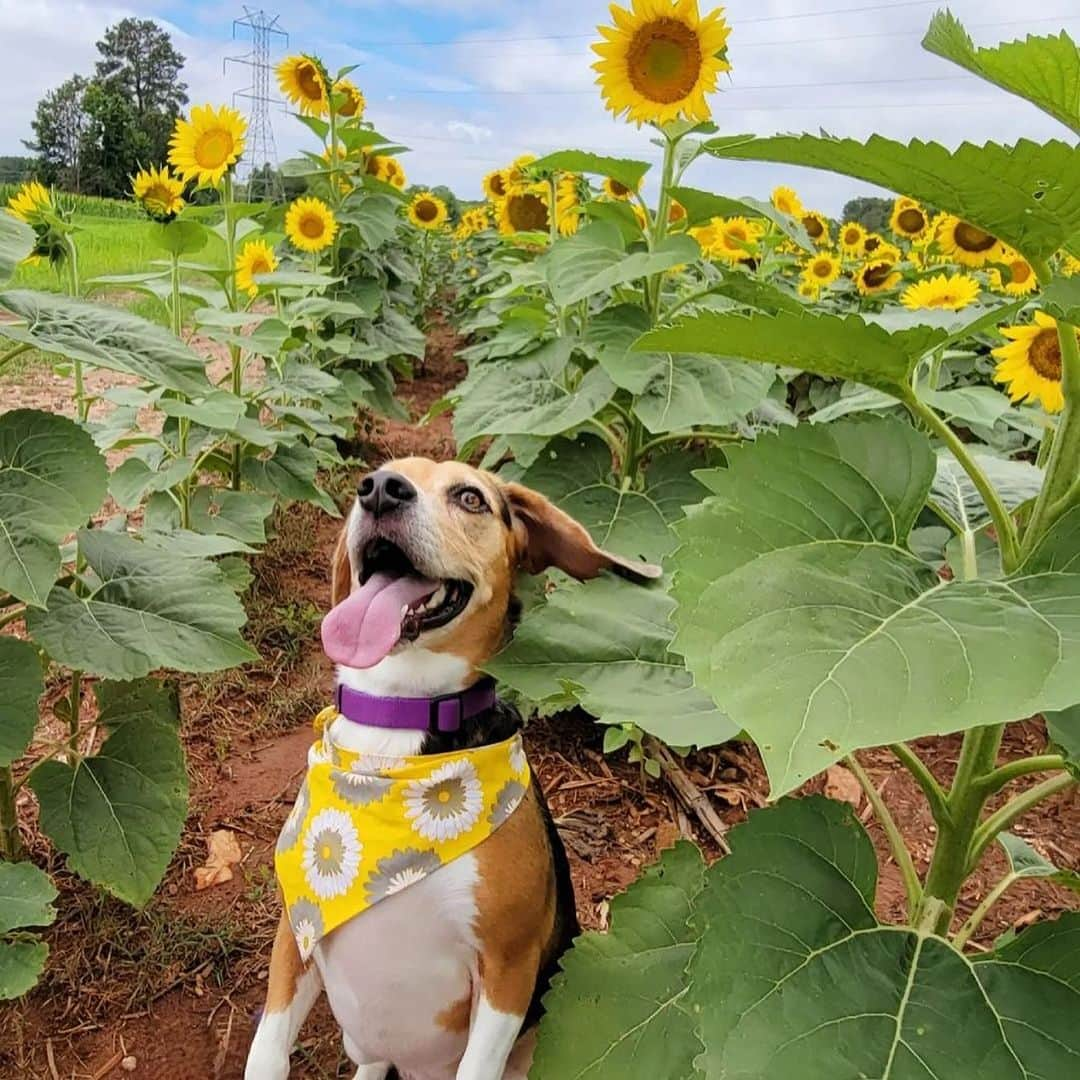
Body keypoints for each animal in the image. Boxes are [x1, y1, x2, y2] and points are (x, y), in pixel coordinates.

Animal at [247, 460, 656, 1080]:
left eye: (470, 498)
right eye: (375, 478)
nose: (380, 491)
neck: (394, 733)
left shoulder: (507, 969)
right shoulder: (295, 932)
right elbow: (266, 1052)